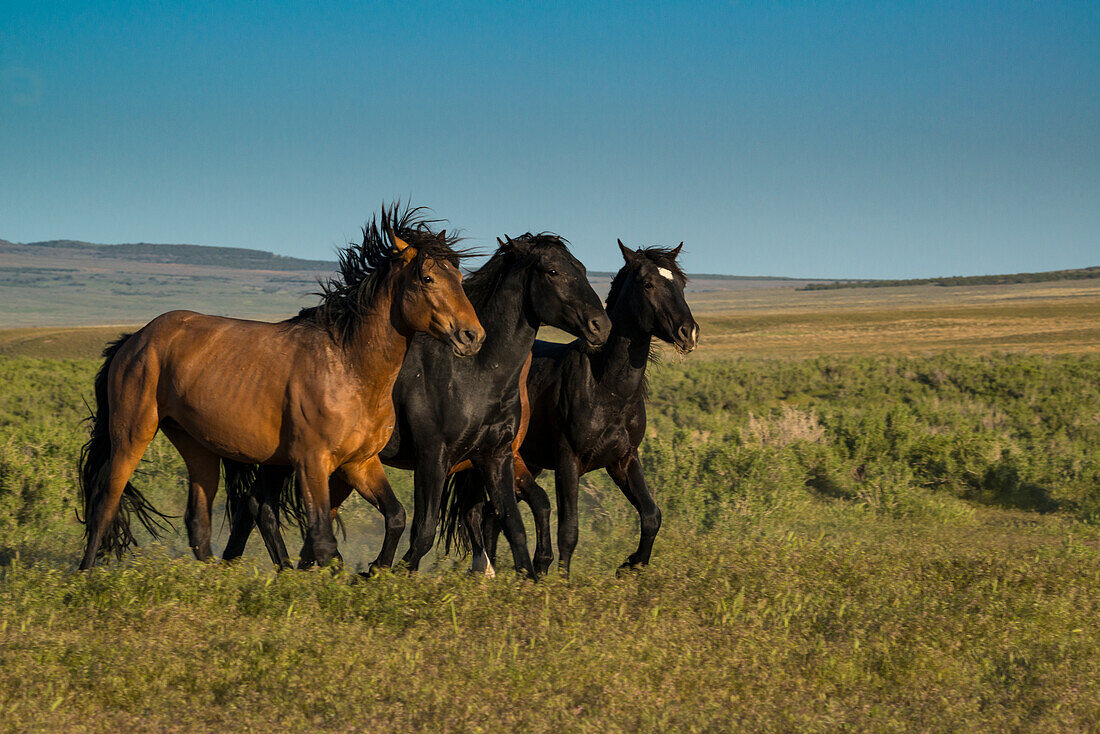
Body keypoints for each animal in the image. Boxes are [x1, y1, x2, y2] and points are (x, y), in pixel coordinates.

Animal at [76, 203, 481, 572]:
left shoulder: (360, 463)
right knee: (105, 502)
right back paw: (85, 575)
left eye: (459, 277)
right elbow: (323, 542)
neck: (348, 367)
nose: (472, 336)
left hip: (196, 445)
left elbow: (395, 517)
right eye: (427, 278)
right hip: (132, 434)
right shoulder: (312, 463)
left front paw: (375, 571)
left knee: (198, 522)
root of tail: (136, 338)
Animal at [222, 235, 611, 581]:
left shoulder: (495, 457)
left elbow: (514, 523)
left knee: (262, 507)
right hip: (288, 459)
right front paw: (384, 574)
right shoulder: (433, 457)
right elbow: (423, 531)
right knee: (257, 506)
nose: (601, 326)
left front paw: (529, 580)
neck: (475, 374)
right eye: (552, 271)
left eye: (581, 268)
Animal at [444, 240, 695, 572]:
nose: (689, 333)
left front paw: (631, 565)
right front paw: (562, 579)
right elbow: (569, 531)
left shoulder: (624, 459)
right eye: (648, 283)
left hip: (527, 464)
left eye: (680, 284)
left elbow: (651, 515)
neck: (605, 389)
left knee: (489, 516)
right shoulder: (568, 462)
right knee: (478, 513)